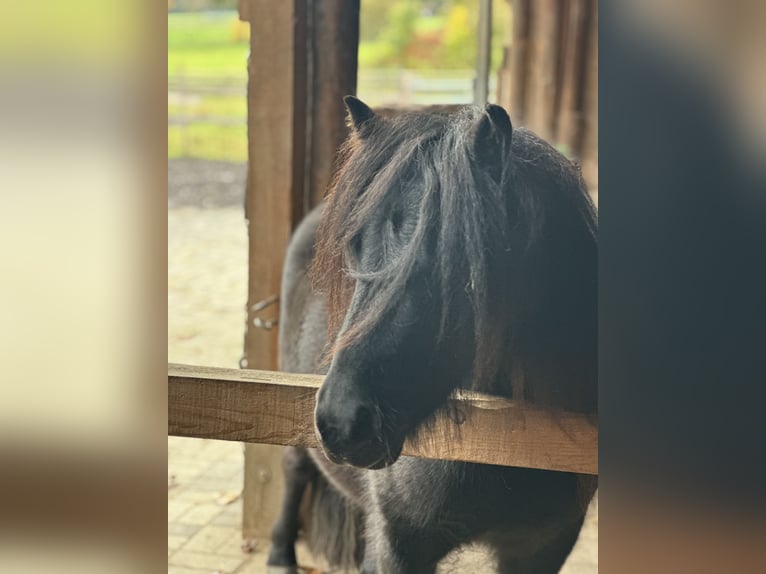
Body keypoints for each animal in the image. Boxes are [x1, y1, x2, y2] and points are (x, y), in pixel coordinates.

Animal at [266, 96, 598, 574]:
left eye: (457, 263)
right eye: (354, 249)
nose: (342, 421)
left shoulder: (542, 547)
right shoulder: (400, 544)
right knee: (295, 469)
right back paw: (280, 553)